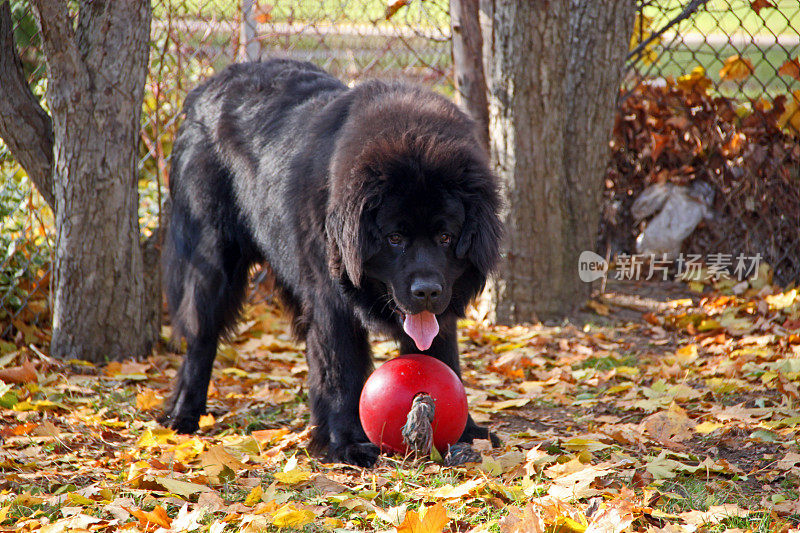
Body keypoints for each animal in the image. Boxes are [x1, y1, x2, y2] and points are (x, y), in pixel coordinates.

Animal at [161, 59, 500, 466]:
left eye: (446, 237)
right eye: (395, 238)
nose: (427, 291)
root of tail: (207, 87)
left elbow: (442, 358)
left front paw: (465, 433)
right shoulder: (331, 302)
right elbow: (341, 371)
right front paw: (347, 443)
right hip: (211, 257)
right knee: (201, 335)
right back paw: (183, 415)